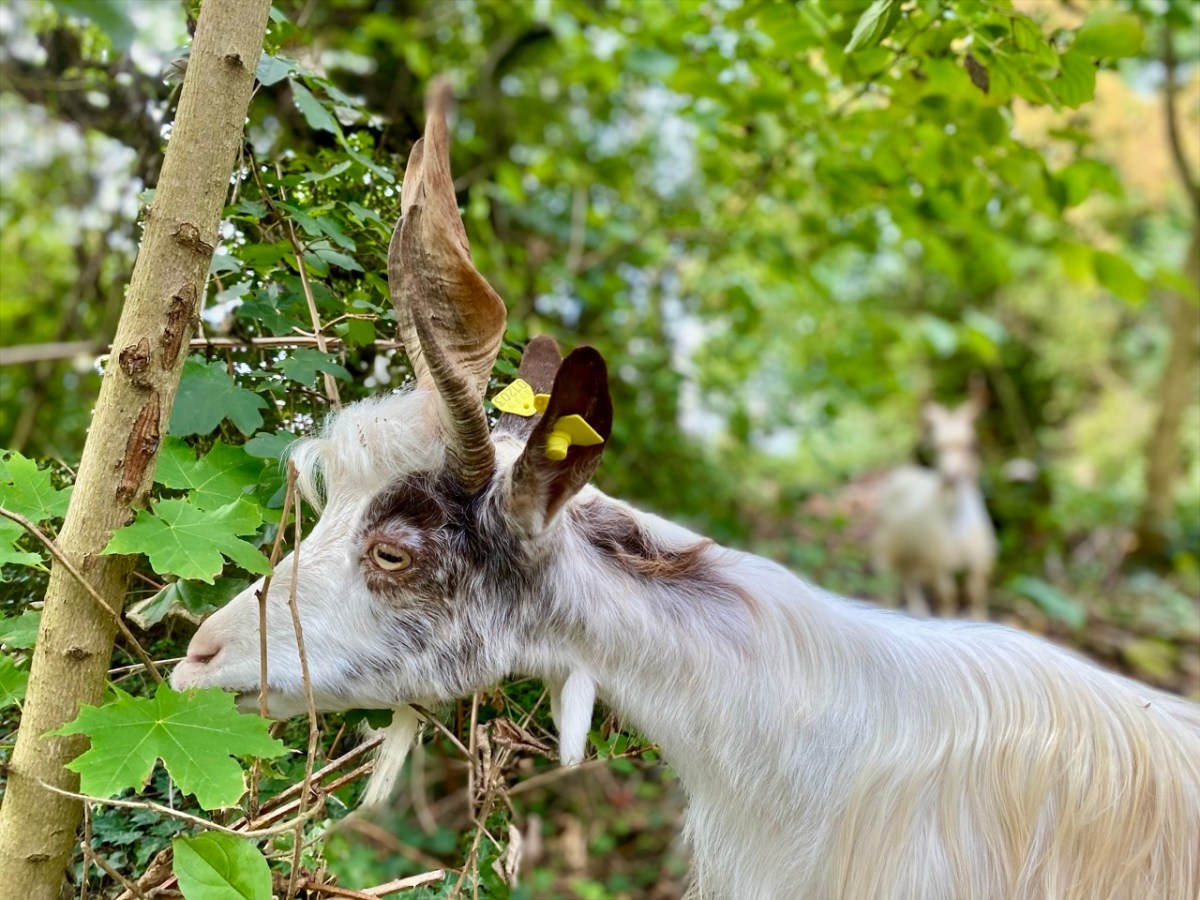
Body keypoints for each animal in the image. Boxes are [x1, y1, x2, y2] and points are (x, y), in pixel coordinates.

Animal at [874, 392, 997, 619]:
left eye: (971, 444)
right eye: (937, 447)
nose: (950, 477)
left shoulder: (979, 561)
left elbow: (976, 594)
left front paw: (980, 619)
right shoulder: (939, 562)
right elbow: (948, 596)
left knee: (909, 576)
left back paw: (917, 609)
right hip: (888, 541)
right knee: (886, 576)